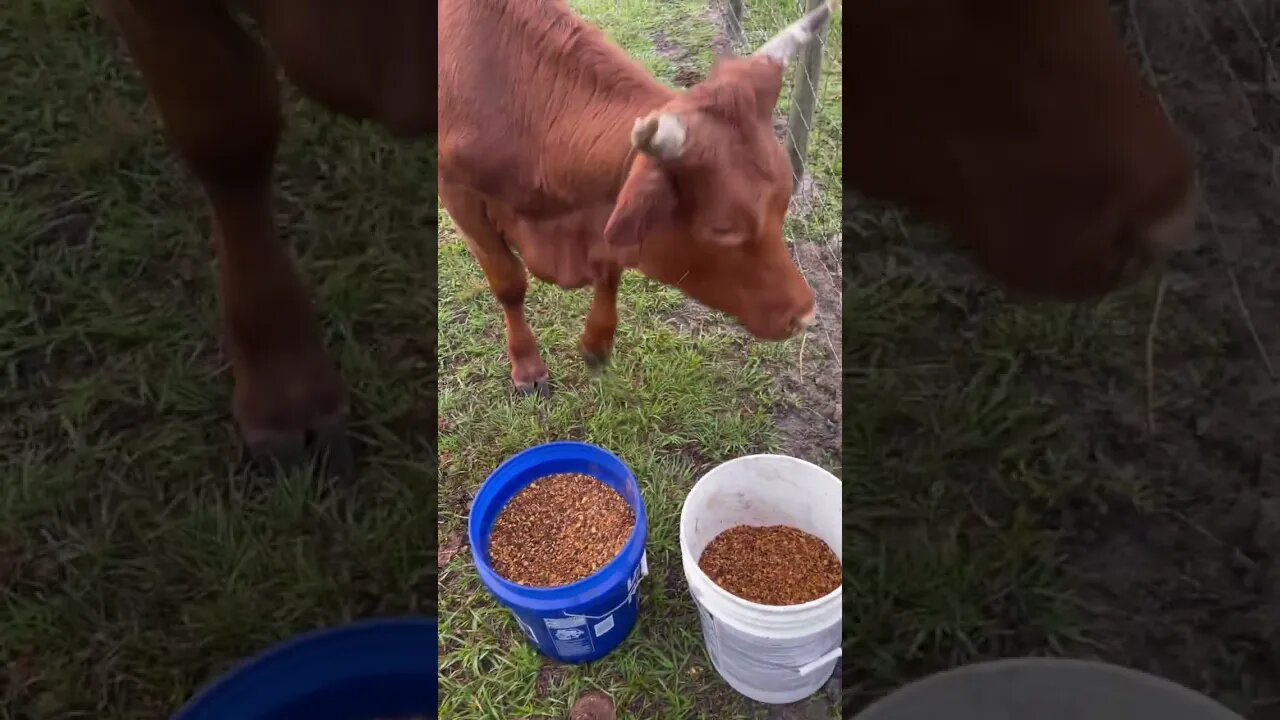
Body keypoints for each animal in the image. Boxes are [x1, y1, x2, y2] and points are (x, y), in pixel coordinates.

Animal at [437, 0, 819, 392]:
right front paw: (528, 366)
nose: (806, 314)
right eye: (724, 229)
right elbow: (509, 283)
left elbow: (610, 270)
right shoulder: (459, 198)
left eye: (784, 202)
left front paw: (597, 343)